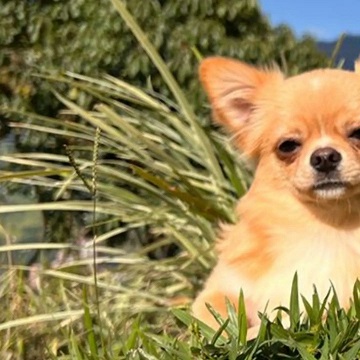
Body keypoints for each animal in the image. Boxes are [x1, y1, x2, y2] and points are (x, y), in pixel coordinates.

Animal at [194, 56, 360, 334]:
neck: (327, 227)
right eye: (288, 146)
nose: (325, 157)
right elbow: (214, 316)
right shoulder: (224, 286)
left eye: (358, 134)